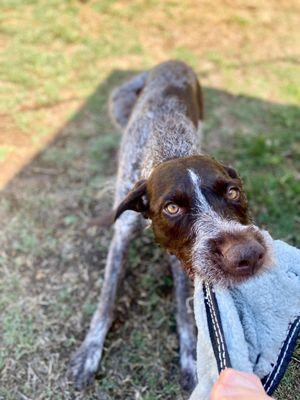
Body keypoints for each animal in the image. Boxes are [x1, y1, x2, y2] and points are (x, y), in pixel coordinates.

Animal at [71, 60, 272, 390]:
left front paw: (190, 356)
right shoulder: (122, 236)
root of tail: (172, 61)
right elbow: (107, 298)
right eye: (172, 208)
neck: (167, 147)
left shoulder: (184, 256)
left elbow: (183, 307)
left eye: (233, 192)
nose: (248, 255)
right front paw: (90, 351)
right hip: (119, 104)